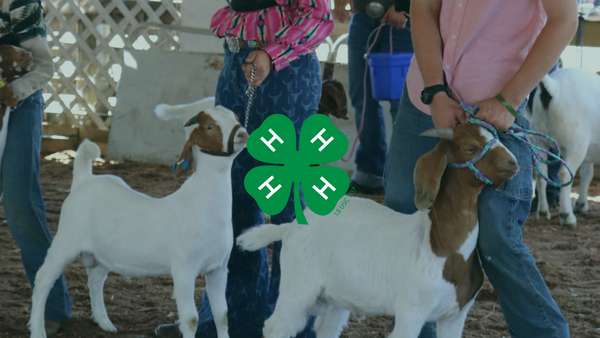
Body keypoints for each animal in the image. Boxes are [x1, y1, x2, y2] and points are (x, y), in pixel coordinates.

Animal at [29, 97, 246, 338]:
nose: (242, 134)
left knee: (95, 278)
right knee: (43, 279)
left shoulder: (219, 269)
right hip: (67, 240)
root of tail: (84, 180)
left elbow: (222, 314)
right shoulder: (184, 270)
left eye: (236, 118)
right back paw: (37, 329)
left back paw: (104, 321)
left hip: (104, 251)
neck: (202, 204)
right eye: (209, 127)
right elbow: (191, 320)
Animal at [237, 123, 516, 338]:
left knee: (326, 328)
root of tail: (292, 227)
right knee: (275, 327)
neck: (441, 246)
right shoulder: (411, 311)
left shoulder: (455, 315)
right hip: (298, 286)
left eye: (497, 138)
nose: (513, 162)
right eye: (471, 147)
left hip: (337, 296)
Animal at [528, 68, 600, 226]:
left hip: (539, 141)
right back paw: (567, 216)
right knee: (565, 175)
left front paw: (580, 204)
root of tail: (554, 87)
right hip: (576, 143)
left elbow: (587, 174)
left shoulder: (590, 151)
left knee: (541, 175)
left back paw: (543, 212)